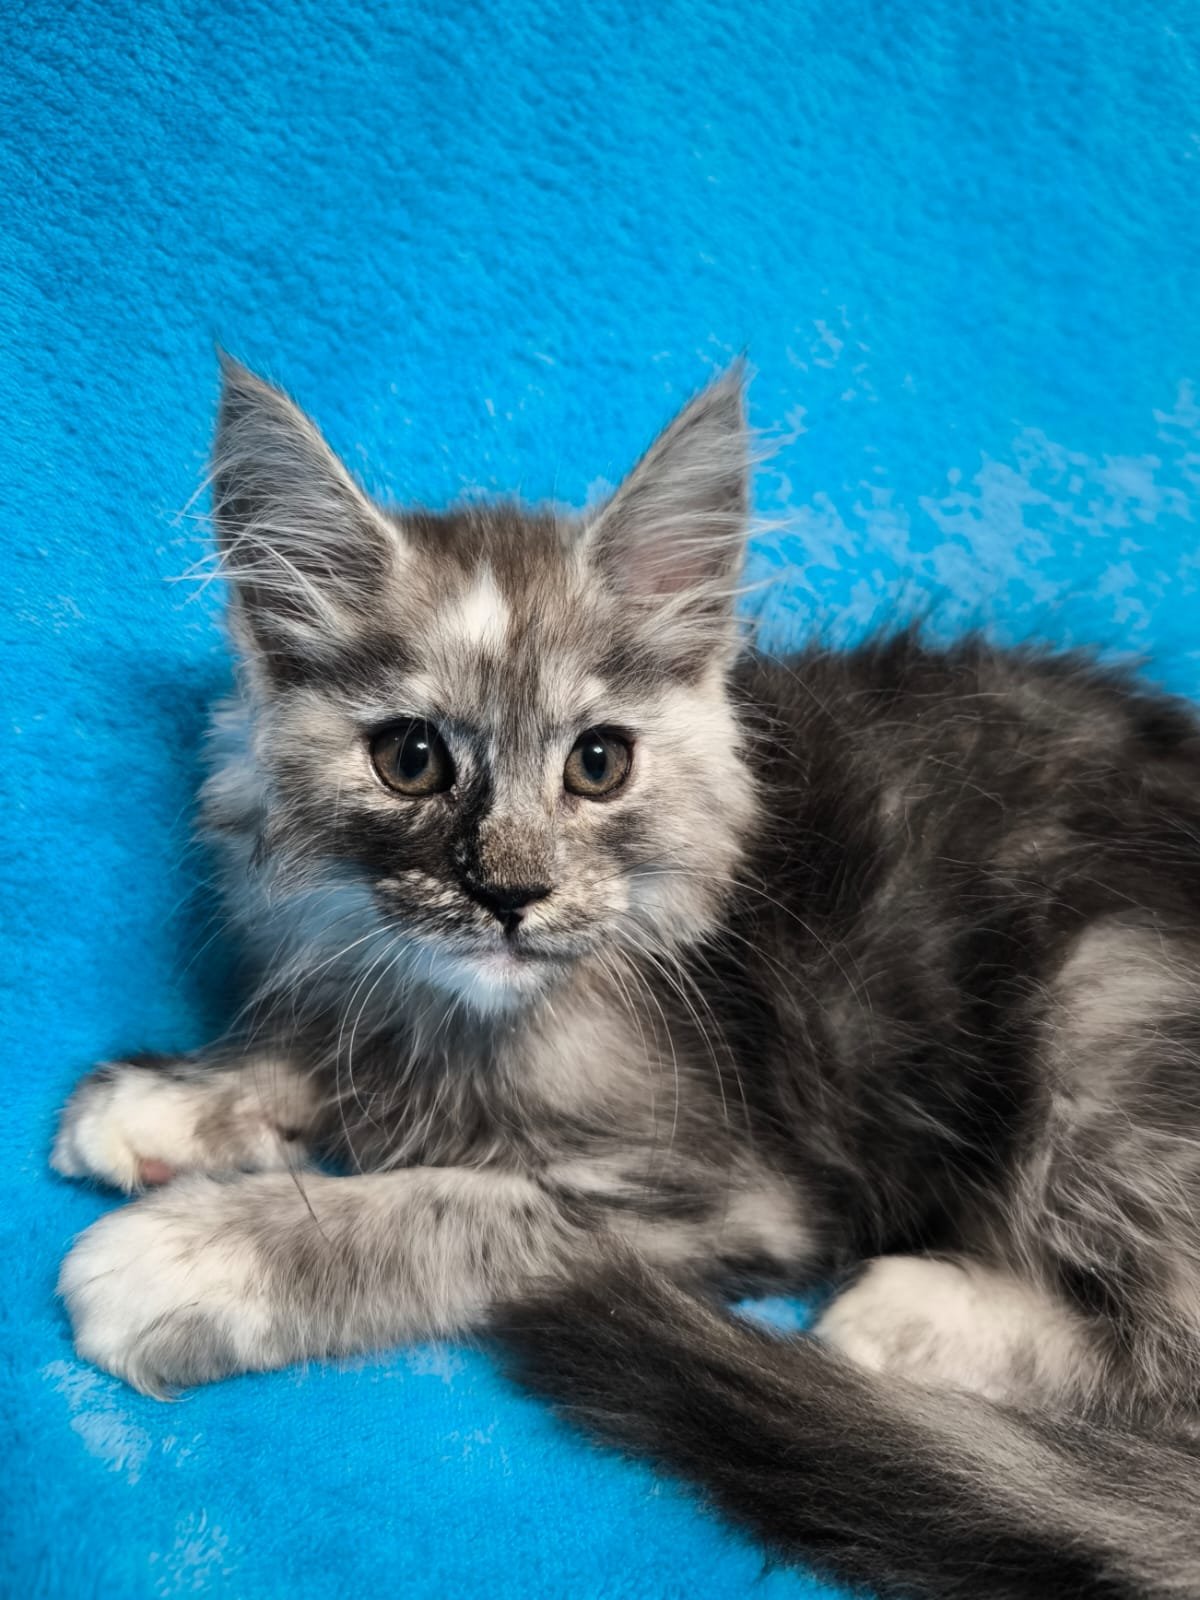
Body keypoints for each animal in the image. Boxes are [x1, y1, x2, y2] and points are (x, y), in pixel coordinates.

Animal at [52, 357, 1200, 1598]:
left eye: (598, 764)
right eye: (411, 759)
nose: (511, 893)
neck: (486, 1021)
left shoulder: (734, 1188)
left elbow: (440, 1204)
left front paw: (199, 1252)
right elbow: (338, 1051)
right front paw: (170, 1098)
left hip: (1106, 998)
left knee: (1166, 1377)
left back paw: (909, 1316)